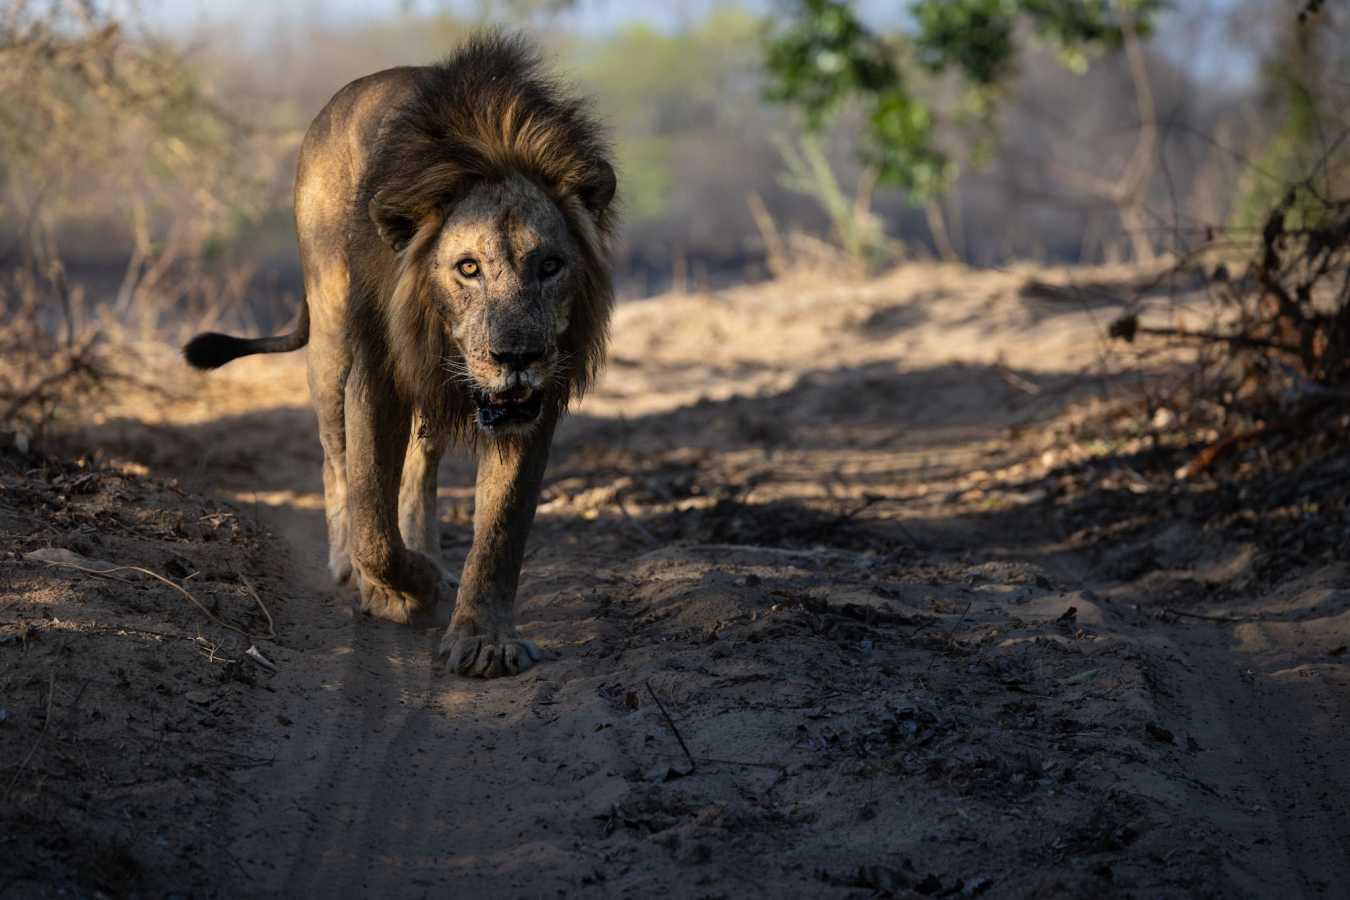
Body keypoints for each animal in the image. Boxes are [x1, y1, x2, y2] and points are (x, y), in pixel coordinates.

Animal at [183, 34, 617, 678]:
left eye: (550, 265)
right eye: (468, 267)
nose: (517, 355)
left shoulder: (535, 401)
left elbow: (502, 527)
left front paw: (483, 637)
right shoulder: (376, 368)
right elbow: (372, 521)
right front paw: (402, 593)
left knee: (420, 465)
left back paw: (429, 549)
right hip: (330, 336)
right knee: (335, 458)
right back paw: (349, 566)